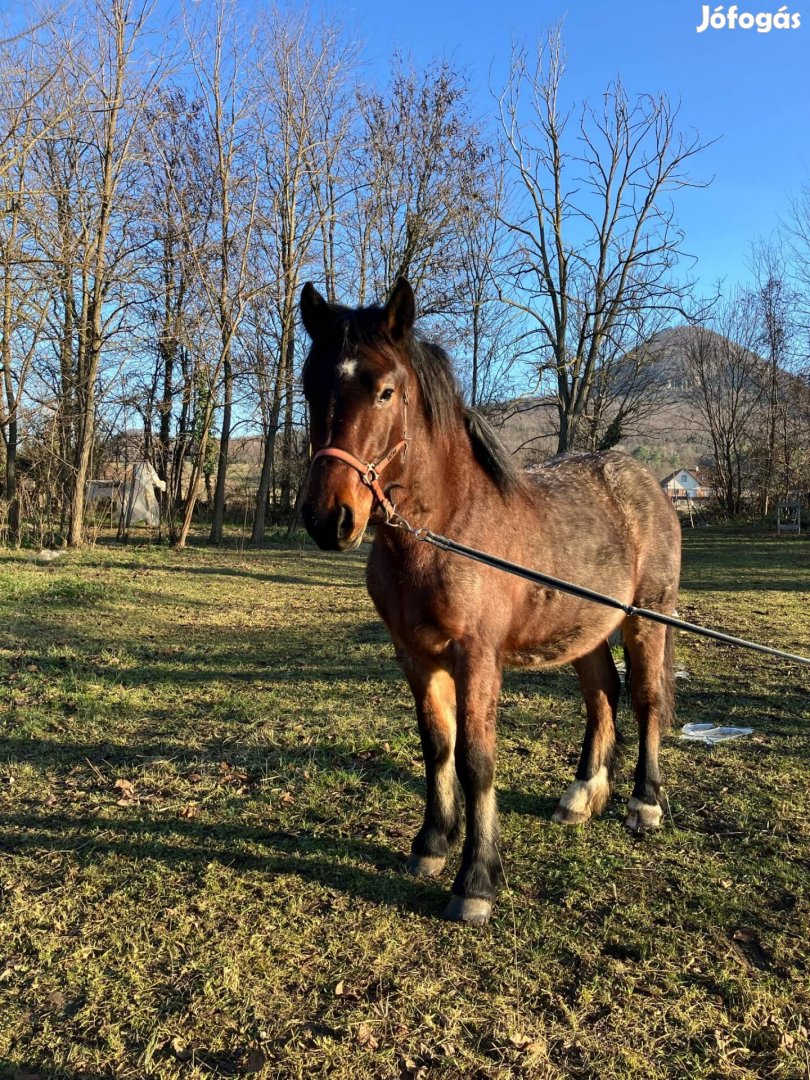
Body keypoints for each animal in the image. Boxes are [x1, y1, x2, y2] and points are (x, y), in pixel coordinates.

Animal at [295, 280, 678, 928]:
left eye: (385, 390)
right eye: (309, 387)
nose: (330, 518)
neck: (445, 530)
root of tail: (646, 482)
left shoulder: (476, 657)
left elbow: (476, 759)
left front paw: (476, 880)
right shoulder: (416, 657)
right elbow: (437, 745)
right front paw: (431, 845)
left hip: (644, 622)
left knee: (647, 700)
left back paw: (642, 804)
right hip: (585, 628)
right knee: (603, 695)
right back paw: (582, 795)